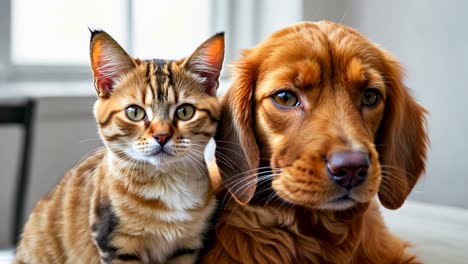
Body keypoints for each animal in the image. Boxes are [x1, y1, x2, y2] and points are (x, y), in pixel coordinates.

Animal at [14, 29, 225, 264]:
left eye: (185, 111)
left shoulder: (187, 247)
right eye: (134, 112)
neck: (165, 185)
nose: (161, 136)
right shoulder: (114, 241)